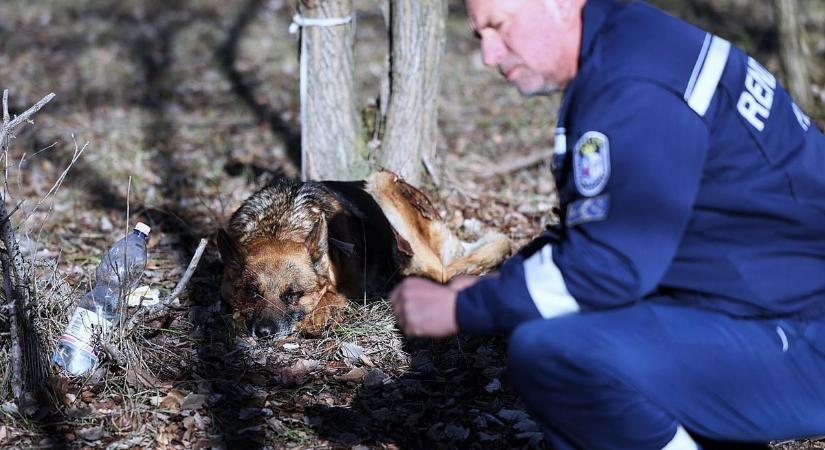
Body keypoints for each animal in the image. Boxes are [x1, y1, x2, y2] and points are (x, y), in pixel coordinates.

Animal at [216, 171, 508, 340]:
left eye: (293, 295)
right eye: (254, 293)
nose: (263, 333)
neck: (280, 224)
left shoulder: (351, 285)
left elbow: (331, 294)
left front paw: (318, 314)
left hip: (384, 180)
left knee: (440, 271)